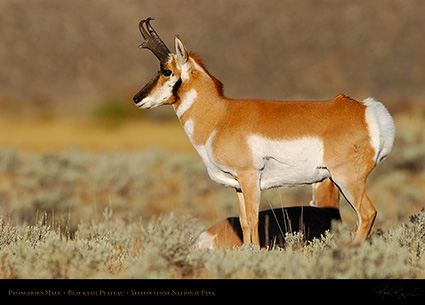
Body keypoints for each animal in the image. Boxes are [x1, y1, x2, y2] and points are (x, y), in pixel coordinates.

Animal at [133, 17, 394, 245]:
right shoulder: (238, 185)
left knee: (368, 213)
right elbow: (244, 222)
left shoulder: (250, 178)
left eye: (166, 70)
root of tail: (366, 109)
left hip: (347, 180)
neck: (220, 115)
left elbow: (254, 220)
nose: (137, 98)